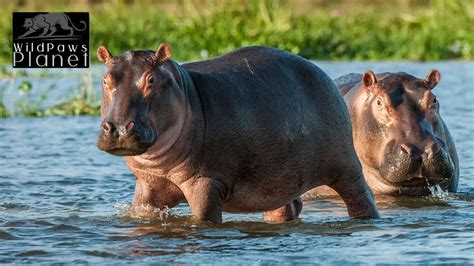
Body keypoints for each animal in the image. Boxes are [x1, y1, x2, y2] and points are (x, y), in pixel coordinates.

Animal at [95, 44, 378, 223]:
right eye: (105, 79)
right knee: (286, 207)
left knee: (361, 197)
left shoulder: (206, 182)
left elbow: (204, 219)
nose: (119, 127)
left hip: (346, 167)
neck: (185, 91)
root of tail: (322, 73)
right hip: (278, 178)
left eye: (151, 79)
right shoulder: (148, 184)